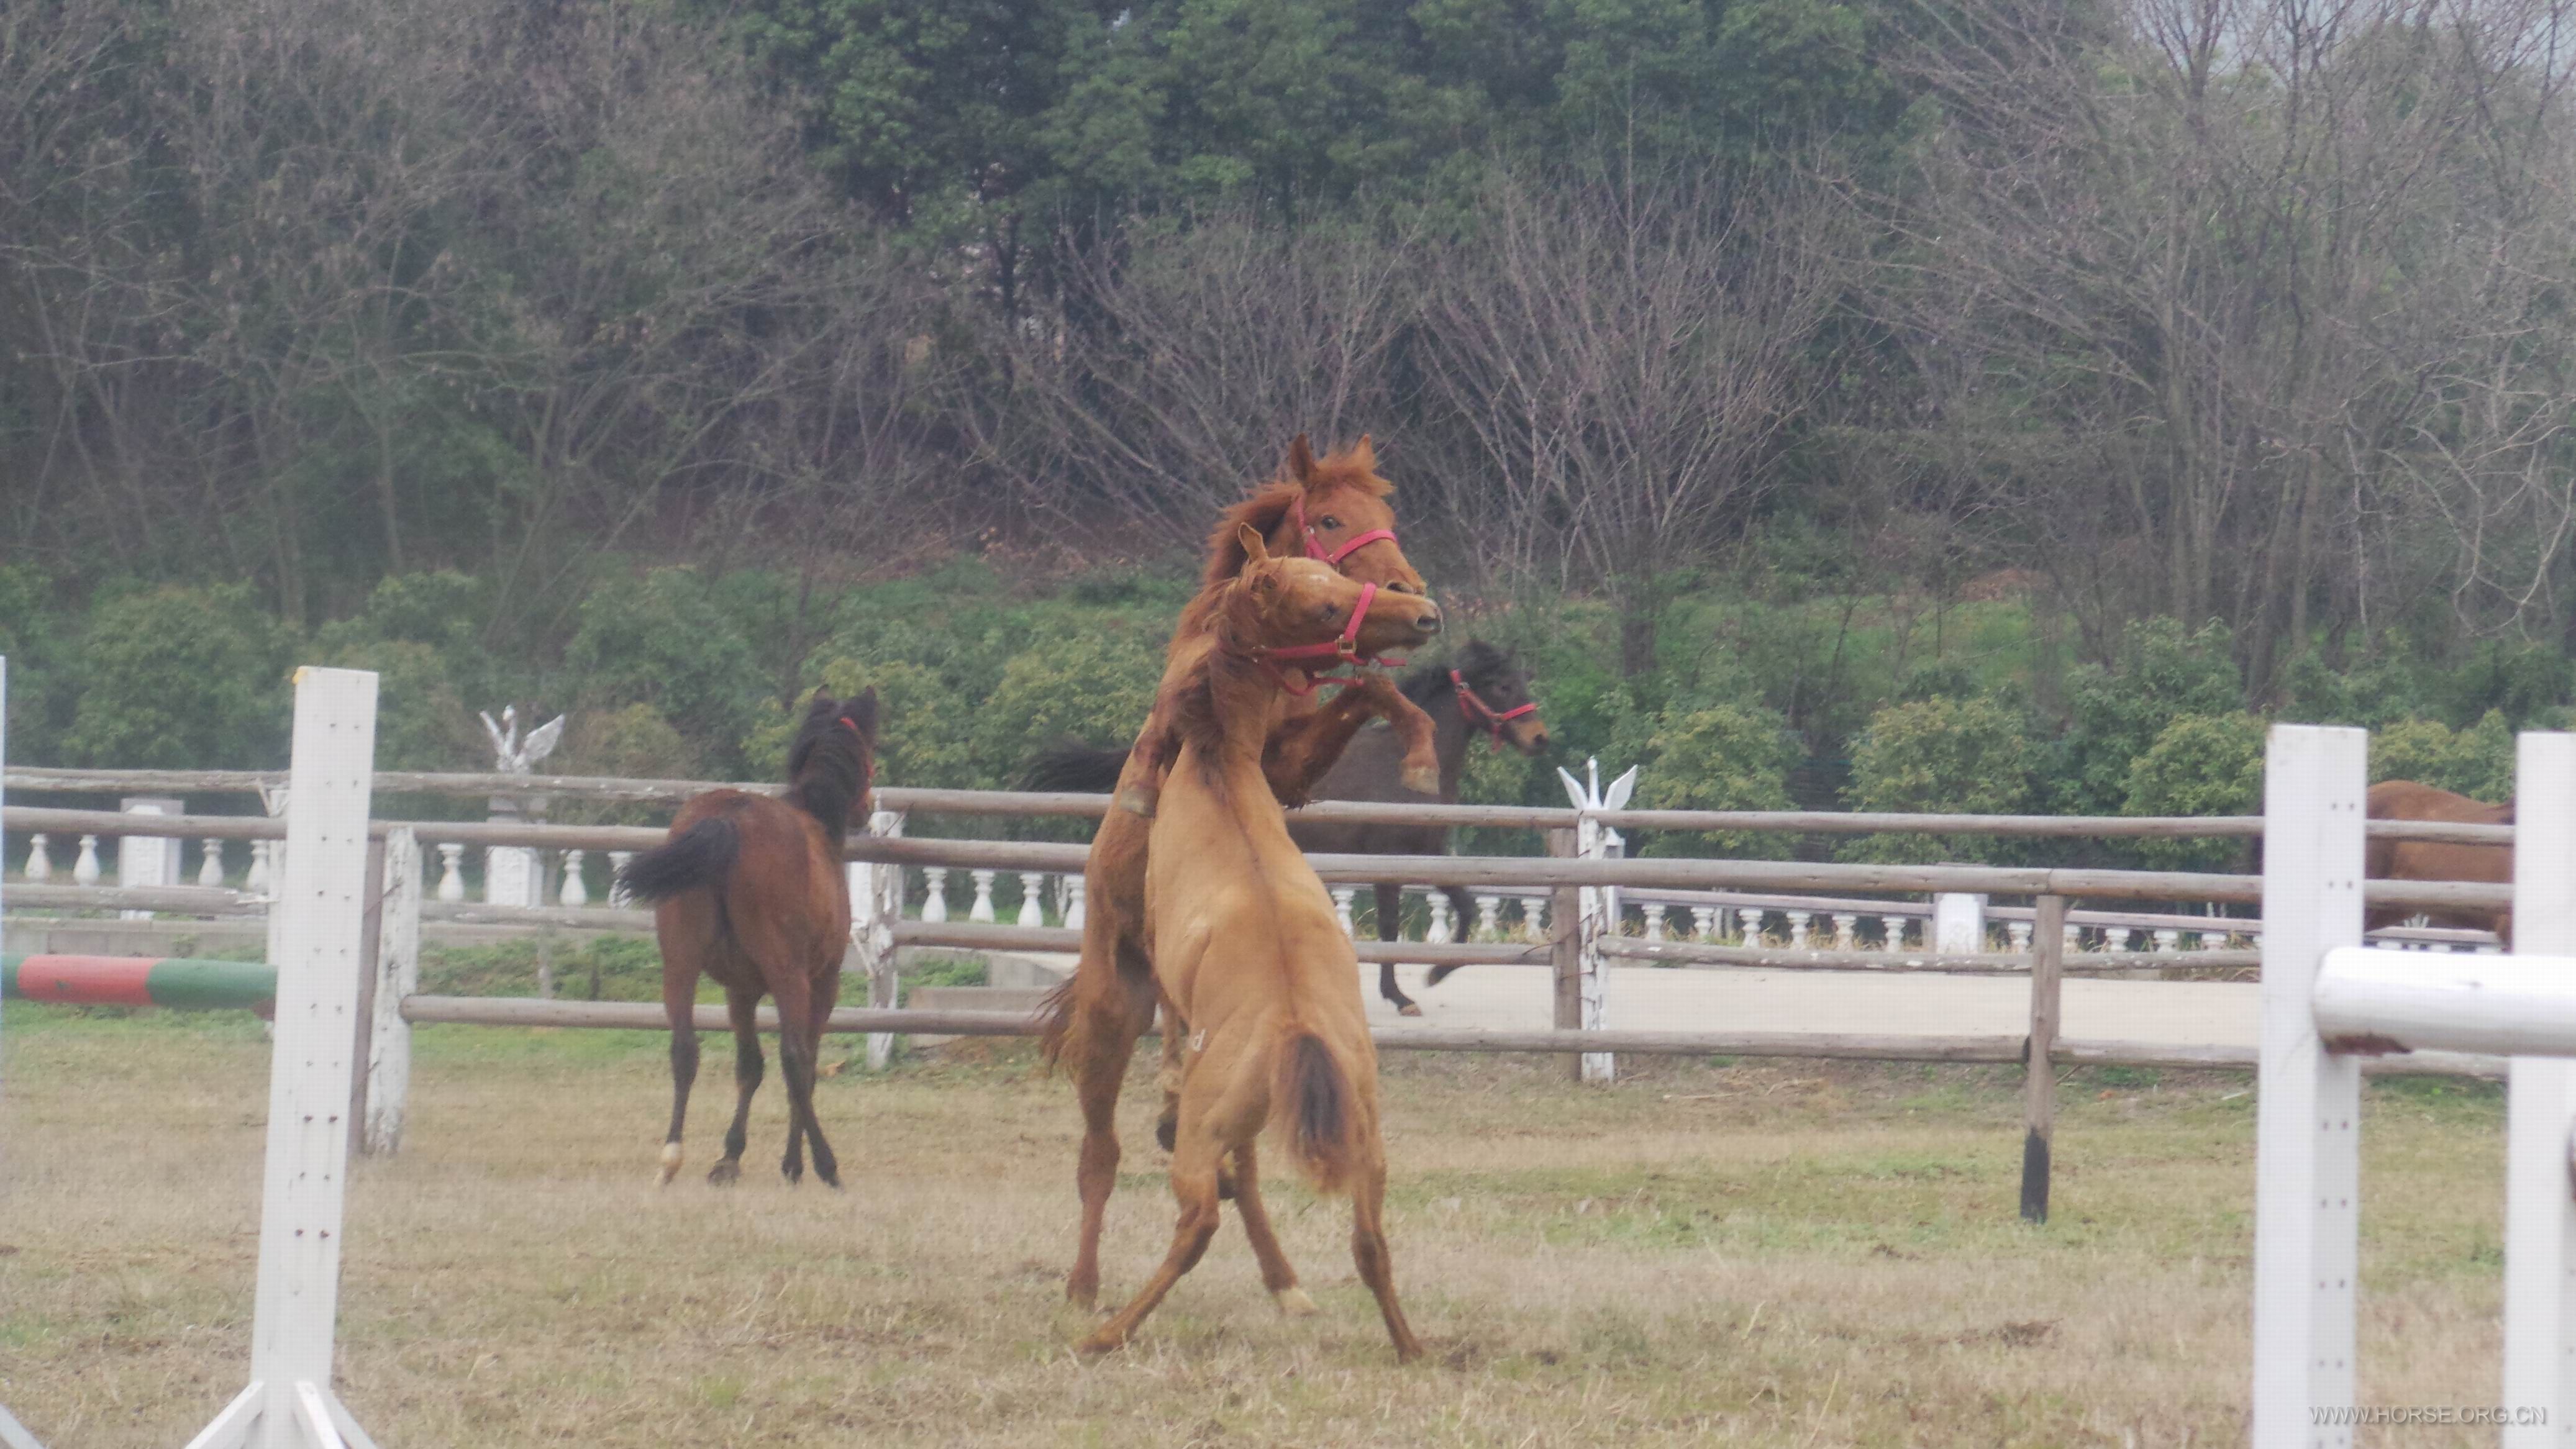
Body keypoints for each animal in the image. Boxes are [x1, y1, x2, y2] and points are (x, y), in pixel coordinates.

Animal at [618, 689, 881, 1189]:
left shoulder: (738, 991)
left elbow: (748, 1068)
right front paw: (792, 1164)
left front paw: (729, 1157)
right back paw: (826, 1166)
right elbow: (802, 1068)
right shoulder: (823, 983)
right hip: (789, 976)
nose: (869, 808)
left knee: (684, 1050)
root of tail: (728, 820)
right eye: (871, 752)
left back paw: (671, 1158)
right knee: (795, 1061)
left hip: (679, 964)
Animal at [1025, 640, 1545, 1014]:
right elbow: (1394, 927)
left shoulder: (1427, 854)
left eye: (1523, 679)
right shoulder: (1390, 862)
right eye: (1501, 684)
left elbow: (1465, 906)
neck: (1404, 763)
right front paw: (1404, 993)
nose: (1538, 738)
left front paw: (1434, 974)